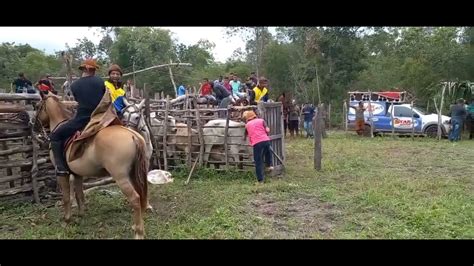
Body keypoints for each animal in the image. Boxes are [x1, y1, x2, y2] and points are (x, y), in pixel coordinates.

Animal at [35, 93, 149, 239]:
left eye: (37, 106)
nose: (34, 125)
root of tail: (133, 135)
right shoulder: (77, 175)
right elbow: (79, 194)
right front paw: (81, 213)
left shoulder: (62, 174)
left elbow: (66, 197)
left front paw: (66, 220)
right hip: (134, 174)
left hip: (121, 177)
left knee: (135, 198)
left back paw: (138, 232)